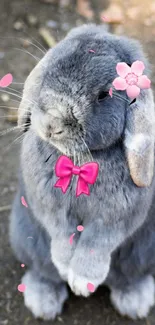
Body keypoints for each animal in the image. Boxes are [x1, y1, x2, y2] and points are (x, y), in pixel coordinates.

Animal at [9, 24, 155, 318]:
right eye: (50, 70)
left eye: (103, 95)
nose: (51, 123)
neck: (78, 163)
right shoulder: (49, 208)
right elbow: (62, 233)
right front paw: (67, 269)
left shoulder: (115, 218)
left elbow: (96, 243)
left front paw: (83, 282)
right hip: (25, 238)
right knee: (43, 271)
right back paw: (43, 302)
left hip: (144, 252)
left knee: (128, 277)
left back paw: (135, 301)